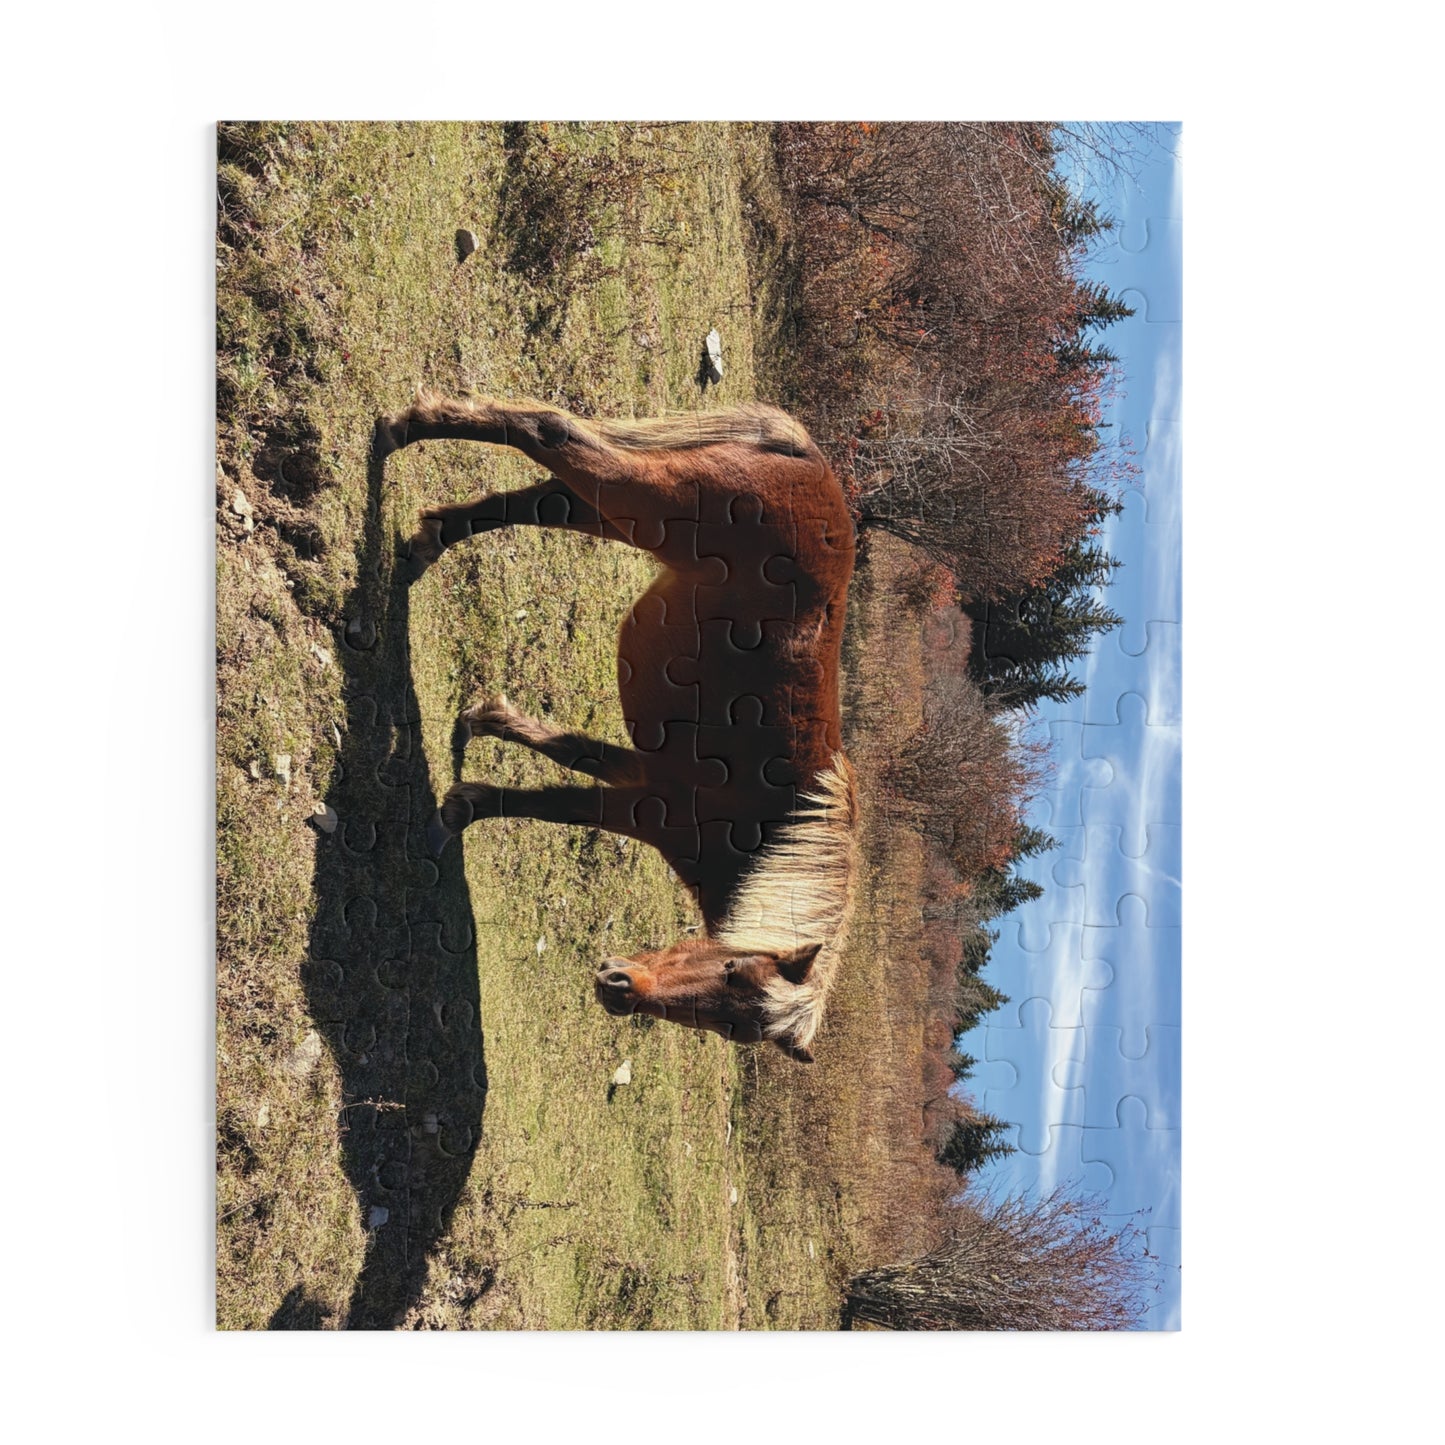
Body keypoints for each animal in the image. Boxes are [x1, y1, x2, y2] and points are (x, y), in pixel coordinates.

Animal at [374, 392, 859, 1063]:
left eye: (728, 1026)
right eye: (733, 970)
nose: (618, 988)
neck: (775, 831)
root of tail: (803, 456)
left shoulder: (640, 773)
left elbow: (570, 752)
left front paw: (484, 725)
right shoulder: (646, 808)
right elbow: (555, 805)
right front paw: (457, 812)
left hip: (612, 514)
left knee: (535, 499)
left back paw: (426, 537)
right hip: (641, 500)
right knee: (550, 430)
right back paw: (406, 429)